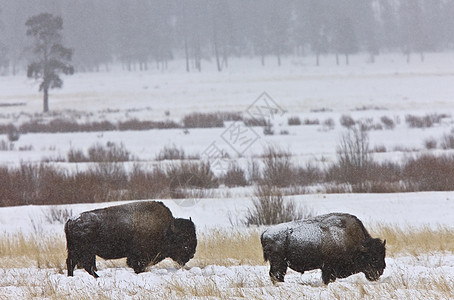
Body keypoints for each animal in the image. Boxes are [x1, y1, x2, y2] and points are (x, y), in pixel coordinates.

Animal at [64, 200, 197, 278]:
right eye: (183, 238)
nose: (191, 254)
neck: (166, 230)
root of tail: (70, 221)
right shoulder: (139, 258)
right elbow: (138, 266)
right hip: (84, 252)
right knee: (82, 265)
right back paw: (96, 277)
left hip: (78, 252)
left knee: (73, 263)